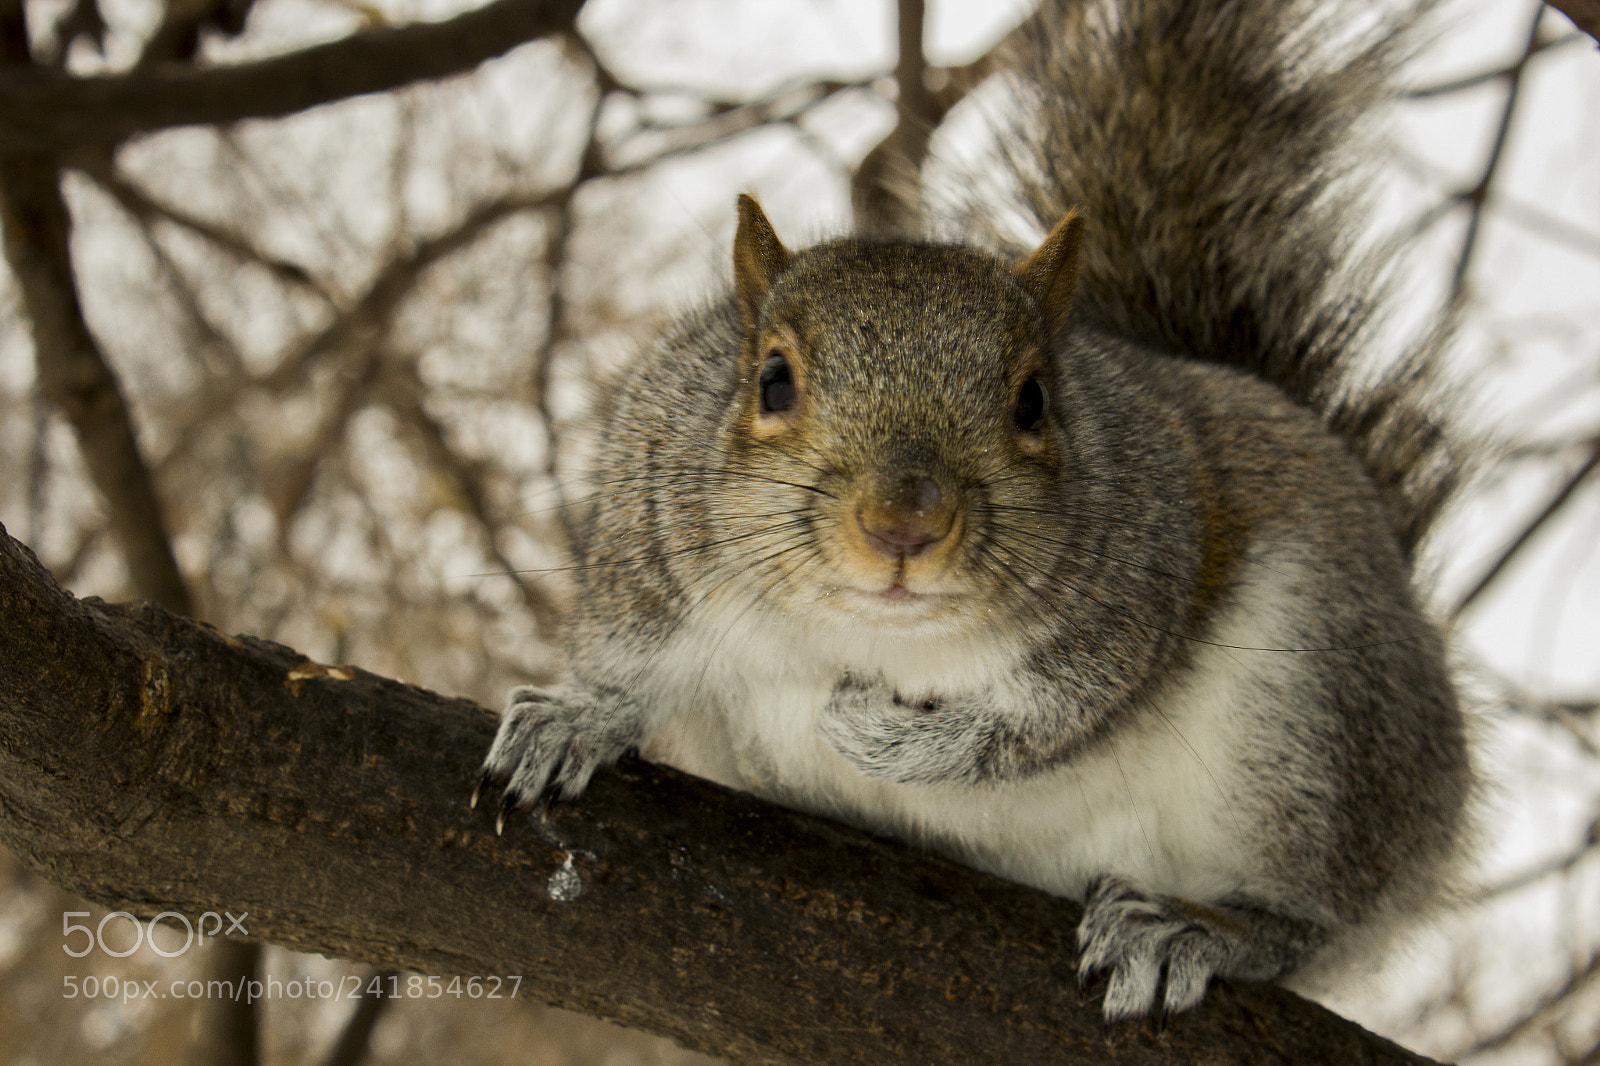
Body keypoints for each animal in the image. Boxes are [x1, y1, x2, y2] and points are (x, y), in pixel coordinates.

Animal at [475, 0, 1474, 1021]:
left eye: (1033, 402)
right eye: (772, 379)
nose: (903, 526)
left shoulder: (1145, 571)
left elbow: (1051, 716)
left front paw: (891, 738)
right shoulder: (651, 526)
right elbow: (626, 657)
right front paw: (576, 719)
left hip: (1312, 711)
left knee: (1311, 921)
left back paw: (1201, 928)